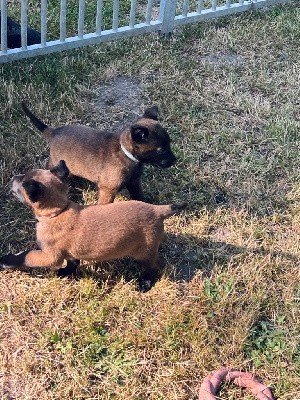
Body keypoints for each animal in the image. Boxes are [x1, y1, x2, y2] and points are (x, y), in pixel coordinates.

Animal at [0, 161, 185, 292]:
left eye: (22, 181)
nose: (13, 177)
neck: (58, 211)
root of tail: (157, 210)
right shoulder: (70, 253)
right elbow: (73, 262)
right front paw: (66, 273)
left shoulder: (49, 256)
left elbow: (25, 256)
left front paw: (6, 261)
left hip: (145, 252)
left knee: (153, 267)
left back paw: (145, 283)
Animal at [22, 101, 177, 205]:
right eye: (161, 149)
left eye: (169, 144)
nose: (175, 160)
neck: (125, 153)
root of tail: (54, 132)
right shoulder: (108, 190)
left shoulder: (134, 182)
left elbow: (139, 196)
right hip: (56, 163)